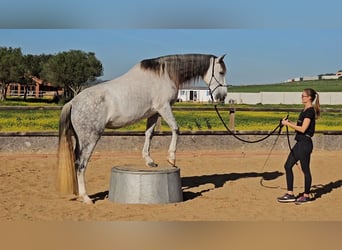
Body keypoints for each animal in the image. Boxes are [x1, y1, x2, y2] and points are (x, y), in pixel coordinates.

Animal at [57, 53, 228, 203]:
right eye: (221, 72)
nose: (222, 96)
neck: (164, 74)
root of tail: (72, 102)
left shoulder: (153, 112)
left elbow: (149, 134)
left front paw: (149, 161)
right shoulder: (163, 107)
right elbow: (175, 128)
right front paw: (171, 158)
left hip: (80, 139)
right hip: (91, 138)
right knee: (80, 164)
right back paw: (86, 198)